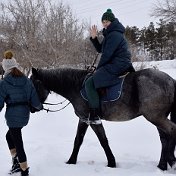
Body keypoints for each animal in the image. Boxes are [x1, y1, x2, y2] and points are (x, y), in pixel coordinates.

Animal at [30, 67, 176, 170]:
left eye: (34, 85)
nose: (31, 107)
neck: (77, 87)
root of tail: (171, 80)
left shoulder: (91, 119)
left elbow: (102, 141)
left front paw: (111, 163)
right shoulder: (85, 119)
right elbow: (79, 140)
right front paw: (71, 161)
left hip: (155, 117)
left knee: (172, 130)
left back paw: (171, 161)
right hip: (157, 118)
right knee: (164, 139)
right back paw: (162, 165)